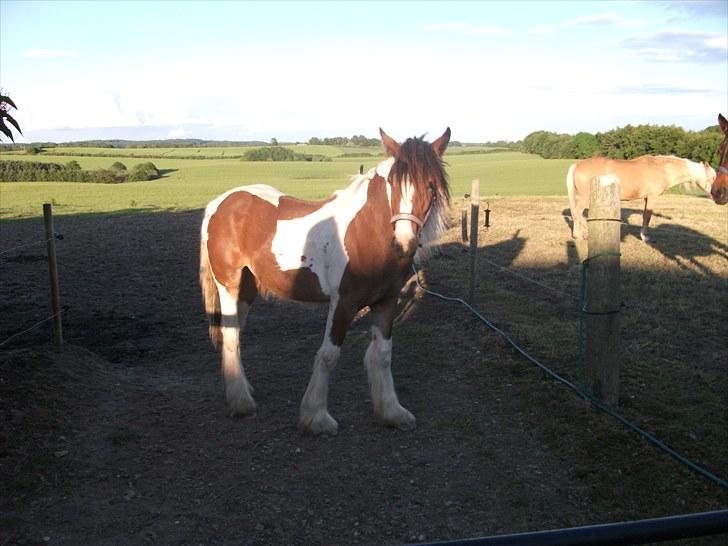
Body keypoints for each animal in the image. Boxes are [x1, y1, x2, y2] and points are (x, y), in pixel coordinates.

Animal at [199, 127, 450, 434]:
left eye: (430, 185)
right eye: (392, 182)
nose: (404, 242)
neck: (365, 231)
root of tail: (219, 203)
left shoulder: (386, 301)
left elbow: (382, 354)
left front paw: (392, 412)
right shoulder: (344, 301)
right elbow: (329, 355)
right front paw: (316, 418)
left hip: (247, 289)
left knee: (234, 333)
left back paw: (241, 390)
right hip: (229, 285)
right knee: (231, 335)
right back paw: (241, 403)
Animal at [564, 154, 716, 241]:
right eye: (713, 177)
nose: (717, 195)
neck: (662, 169)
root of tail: (577, 165)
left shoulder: (646, 198)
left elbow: (644, 216)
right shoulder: (652, 197)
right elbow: (648, 216)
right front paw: (645, 237)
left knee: (575, 214)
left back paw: (577, 235)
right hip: (585, 197)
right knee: (577, 213)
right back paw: (585, 234)